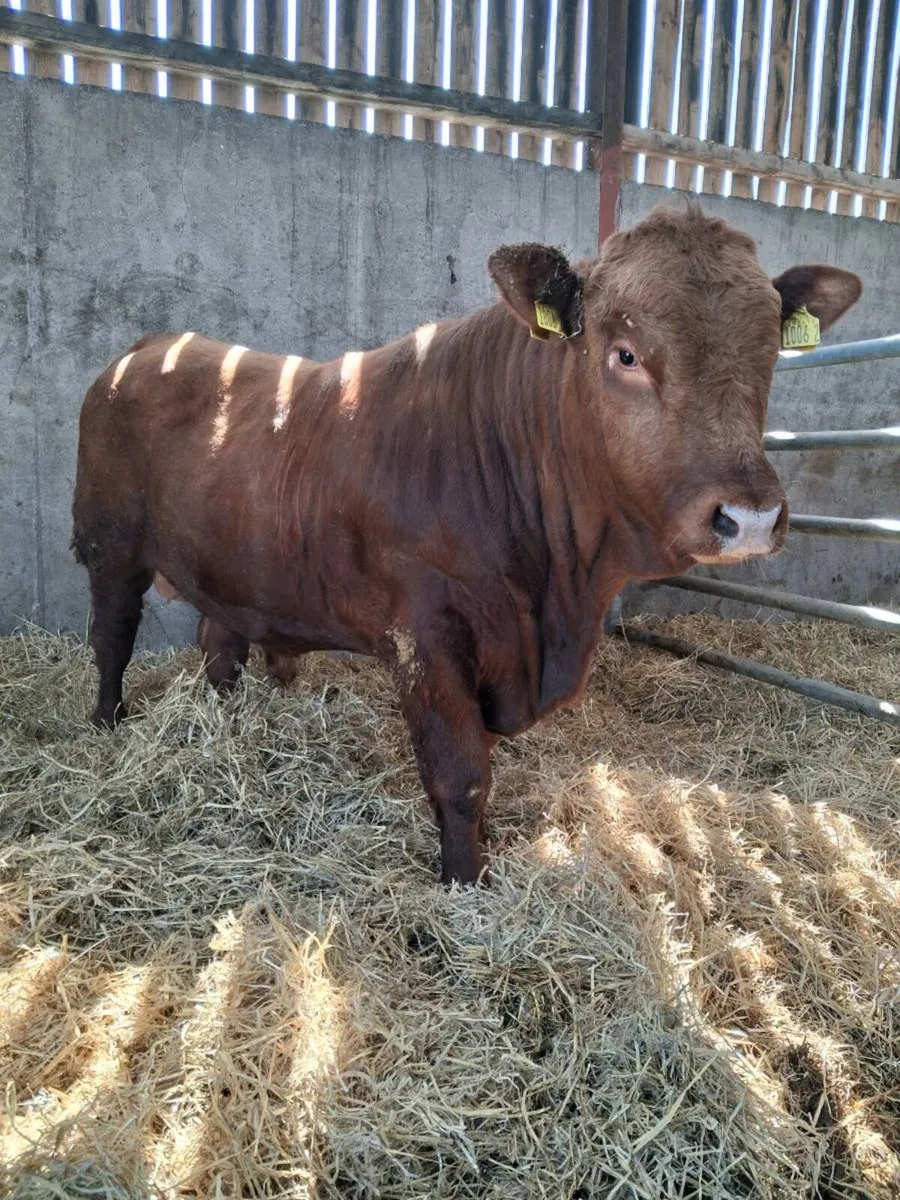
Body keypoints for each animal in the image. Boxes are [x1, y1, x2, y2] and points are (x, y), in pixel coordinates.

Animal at [71, 205, 862, 885]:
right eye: (627, 354)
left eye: (769, 356)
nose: (749, 517)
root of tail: (145, 349)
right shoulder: (428, 637)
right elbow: (460, 775)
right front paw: (463, 880)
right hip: (109, 545)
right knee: (111, 637)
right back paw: (107, 723)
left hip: (232, 569)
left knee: (221, 645)